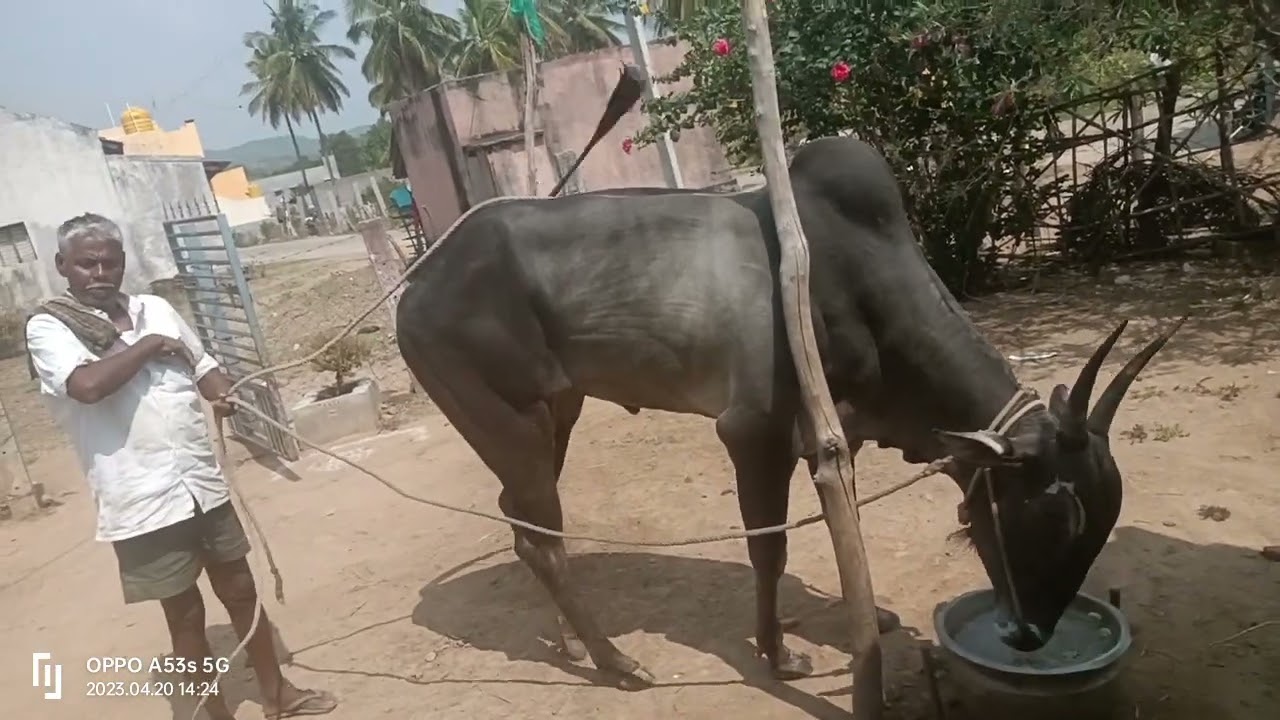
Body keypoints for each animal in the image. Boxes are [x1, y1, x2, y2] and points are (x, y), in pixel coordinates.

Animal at [394, 135, 1183, 688]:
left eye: (1103, 518)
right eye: (1056, 515)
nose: (1031, 636)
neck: (854, 276)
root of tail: (417, 285)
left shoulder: (840, 433)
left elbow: (844, 525)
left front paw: (871, 616)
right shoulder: (754, 433)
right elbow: (767, 548)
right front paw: (778, 656)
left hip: (557, 412)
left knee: (523, 524)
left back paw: (566, 640)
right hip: (513, 422)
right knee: (543, 540)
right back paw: (617, 662)